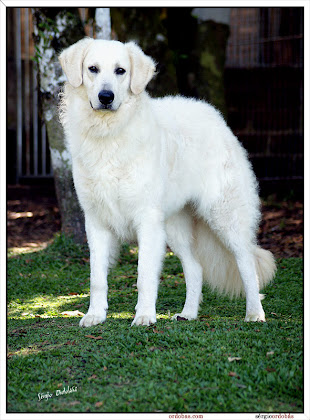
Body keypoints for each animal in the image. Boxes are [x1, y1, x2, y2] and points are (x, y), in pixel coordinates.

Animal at [58, 37, 276, 326]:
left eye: (120, 71)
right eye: (92, 69)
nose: (106, 97)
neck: (109, 134)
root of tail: (214, 115)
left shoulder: (147, 220)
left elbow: (144, 276)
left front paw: (144, 316)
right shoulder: (96, 222)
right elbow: (97, 279)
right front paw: (95, 315)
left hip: (225, 218)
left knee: (247, 262)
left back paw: (254, 314)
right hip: (175, 226)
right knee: (195, 268)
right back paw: (188, 314)